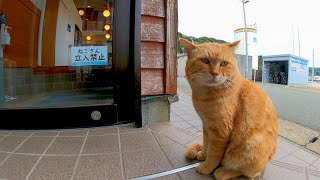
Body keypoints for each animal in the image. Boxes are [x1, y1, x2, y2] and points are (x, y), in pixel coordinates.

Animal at [181, 38, 278, 180]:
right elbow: (206, 143)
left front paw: (206, 167)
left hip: (251, 145)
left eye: (224, 63)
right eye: (205, 61)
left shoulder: (220, 131)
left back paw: (224, 172)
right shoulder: (207, 126)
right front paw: (203, 155)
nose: (215, 73)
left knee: (247, 172)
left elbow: (213, 153)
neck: (204, 96)